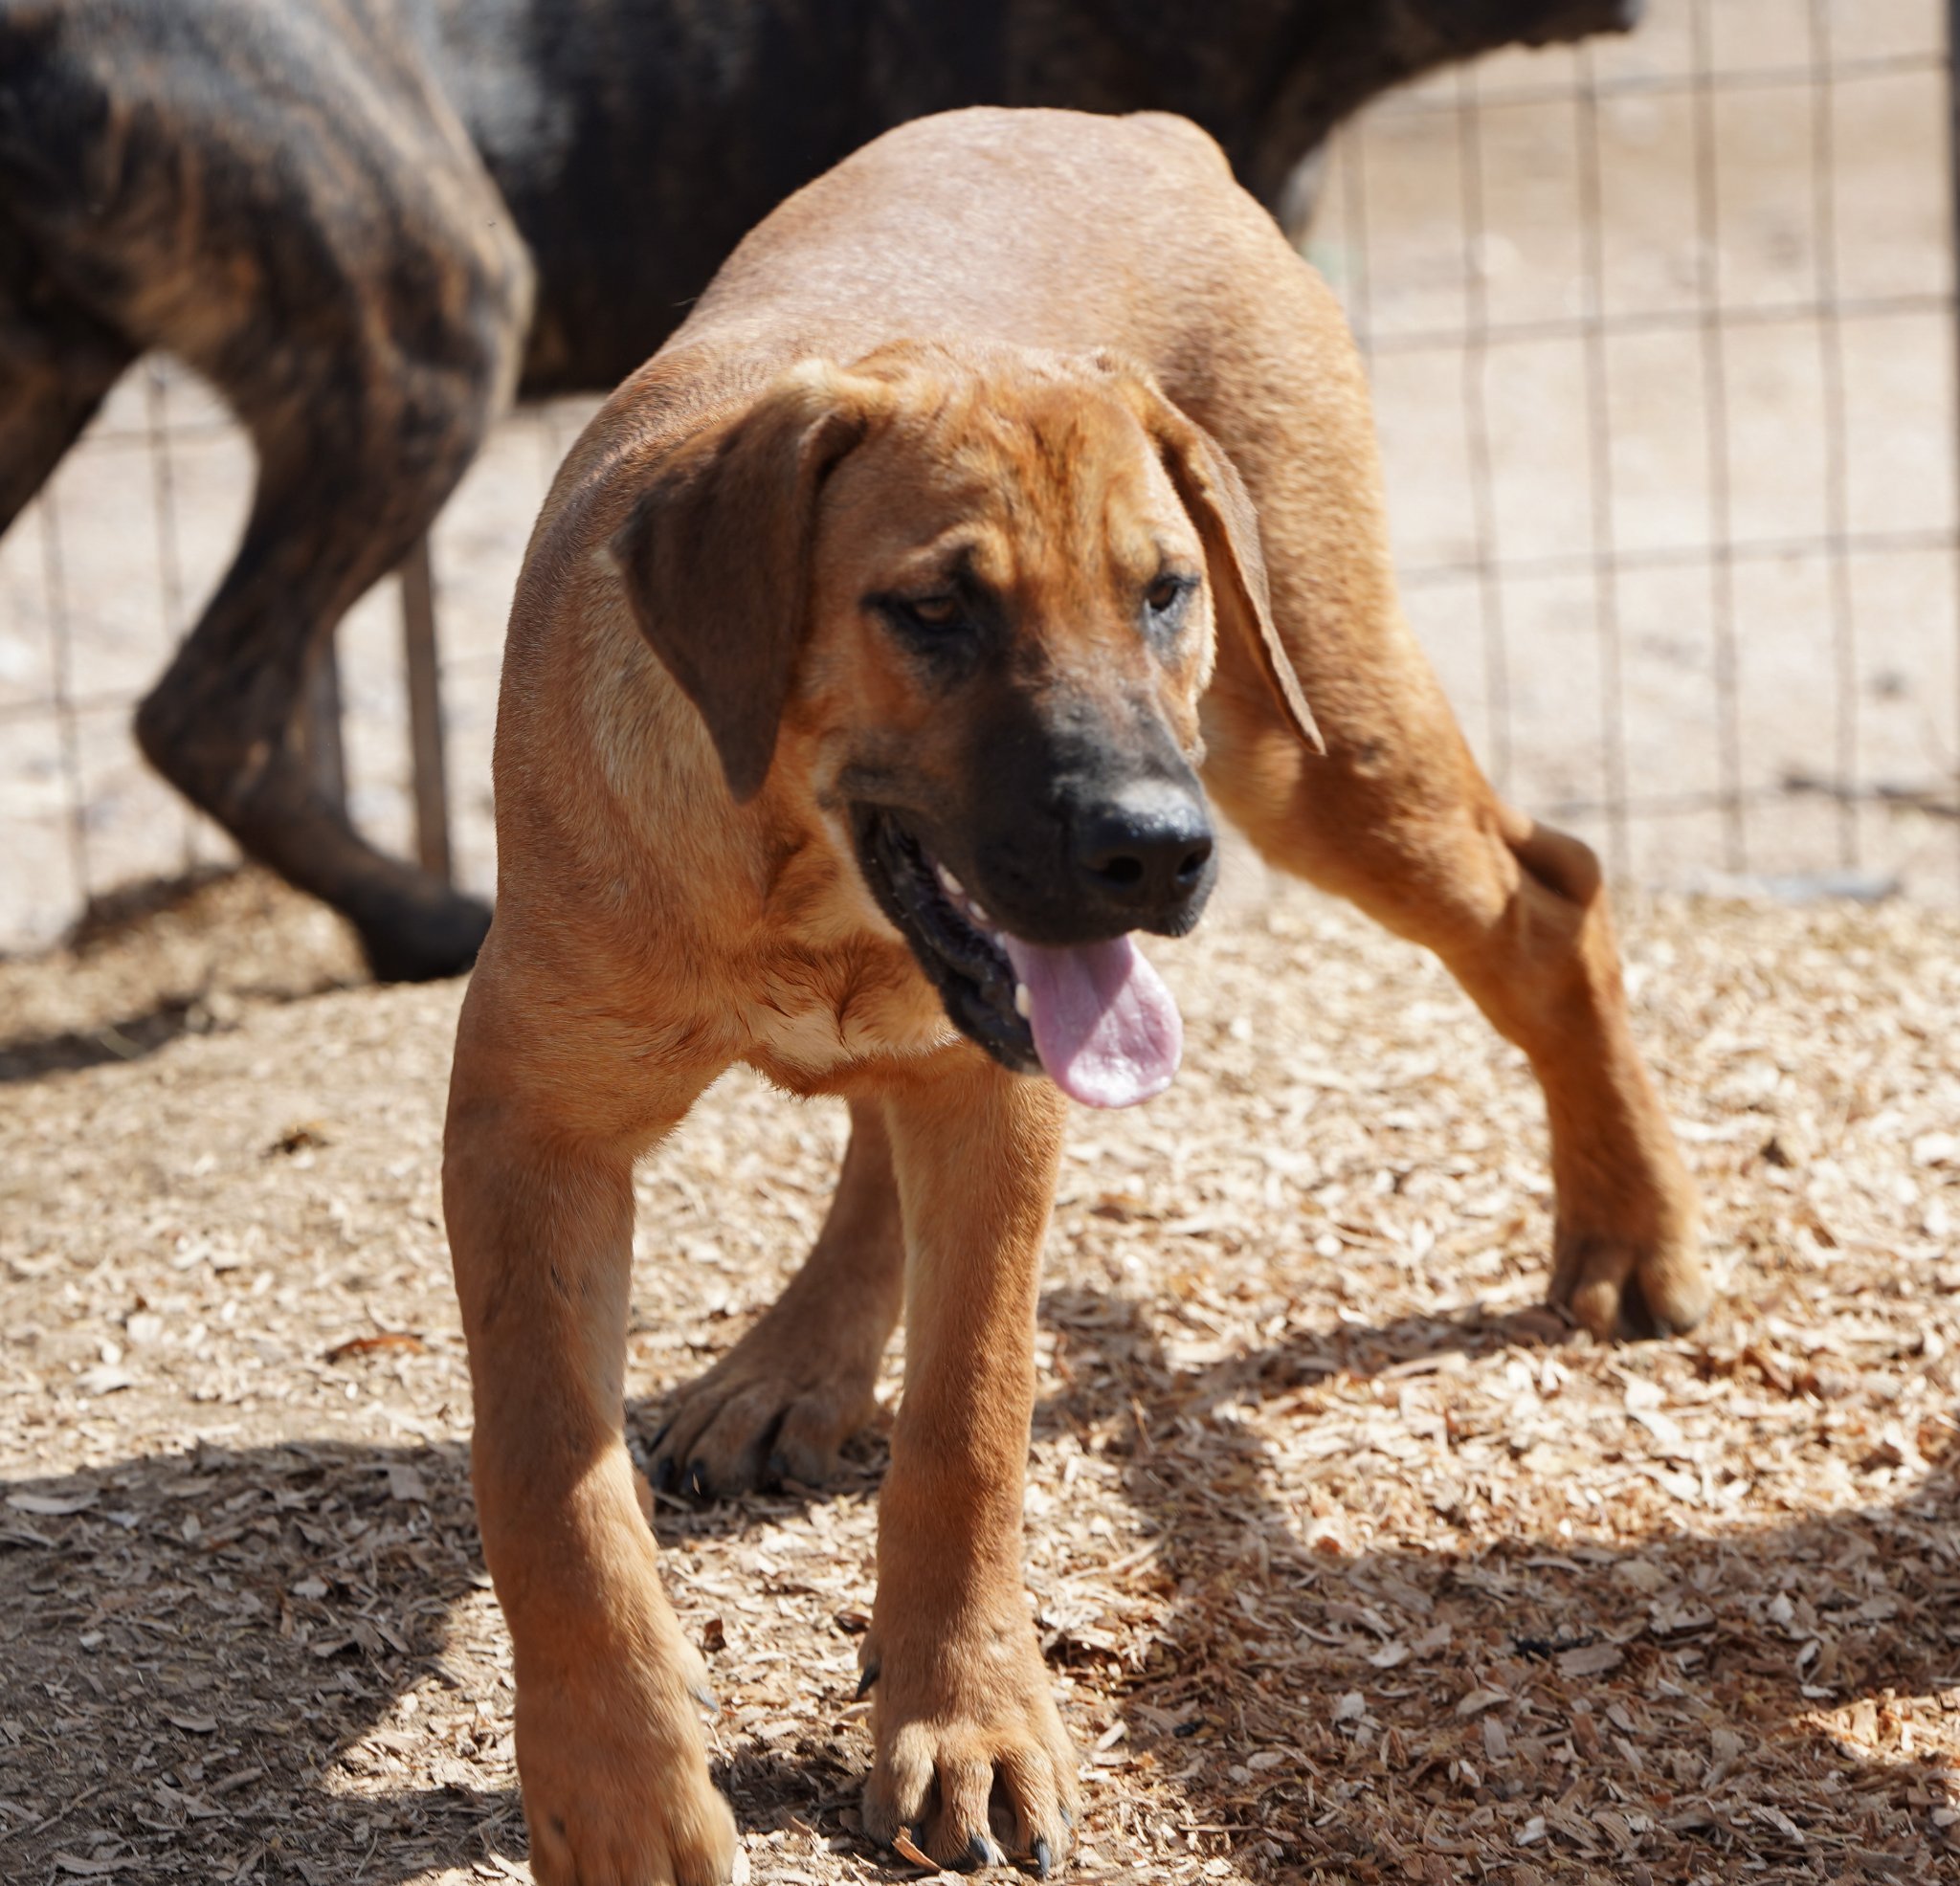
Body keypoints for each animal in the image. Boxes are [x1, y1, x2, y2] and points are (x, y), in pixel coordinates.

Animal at [444, 106, 1701, 1881]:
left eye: (1162, 590)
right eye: (933, 610)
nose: (1152, 849)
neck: (804, 894)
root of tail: (1135, 128)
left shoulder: (1009, 1095)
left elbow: (968, 1418)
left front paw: (961, 1714)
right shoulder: (526, 1123)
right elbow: (549, 1478)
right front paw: (618, 1795)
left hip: (1306, 741)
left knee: (1549, 897)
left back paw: (1628, 1231)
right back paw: (794, 1365)